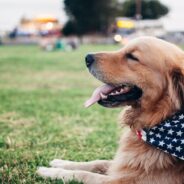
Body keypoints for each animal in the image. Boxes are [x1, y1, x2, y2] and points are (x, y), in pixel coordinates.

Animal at [37, 36, 184, 183]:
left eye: (132, 57)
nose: (87, 57)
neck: (159, 119)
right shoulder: (122, 165)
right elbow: (98, 162)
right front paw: (61, 162)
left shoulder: (121, 180)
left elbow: (83, 174)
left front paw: (50, 171)